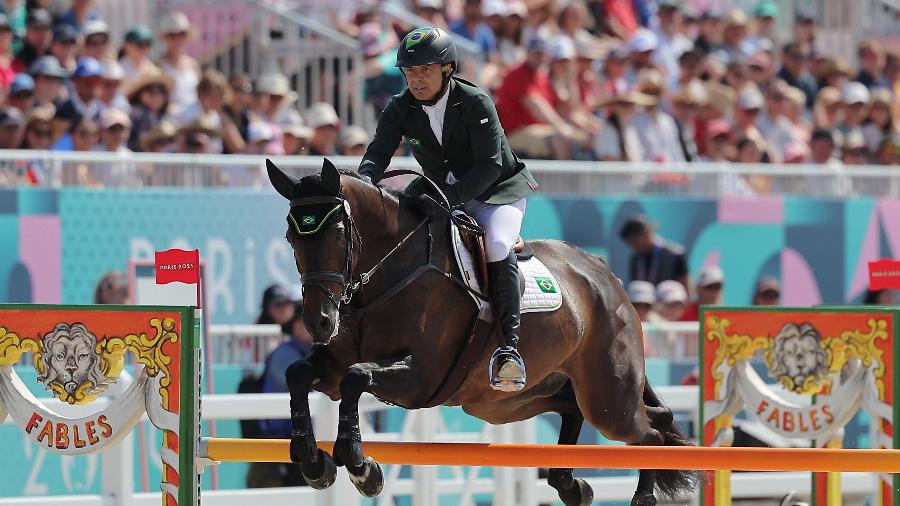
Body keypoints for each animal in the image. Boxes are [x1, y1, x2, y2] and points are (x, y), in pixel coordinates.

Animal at [264, 159, 700, 506]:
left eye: (338, 234)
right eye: (290, 236)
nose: (319, 322)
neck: (387, 273)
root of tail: (602, 271)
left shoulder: (420, 377)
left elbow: (357, 378)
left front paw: (361, 467)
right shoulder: (336, 365)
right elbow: (299, 373)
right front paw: (313, 461)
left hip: (607, 398)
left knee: (650, 435)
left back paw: (639, 497)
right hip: (510, 400)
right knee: (576, 410)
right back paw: (570, 485)